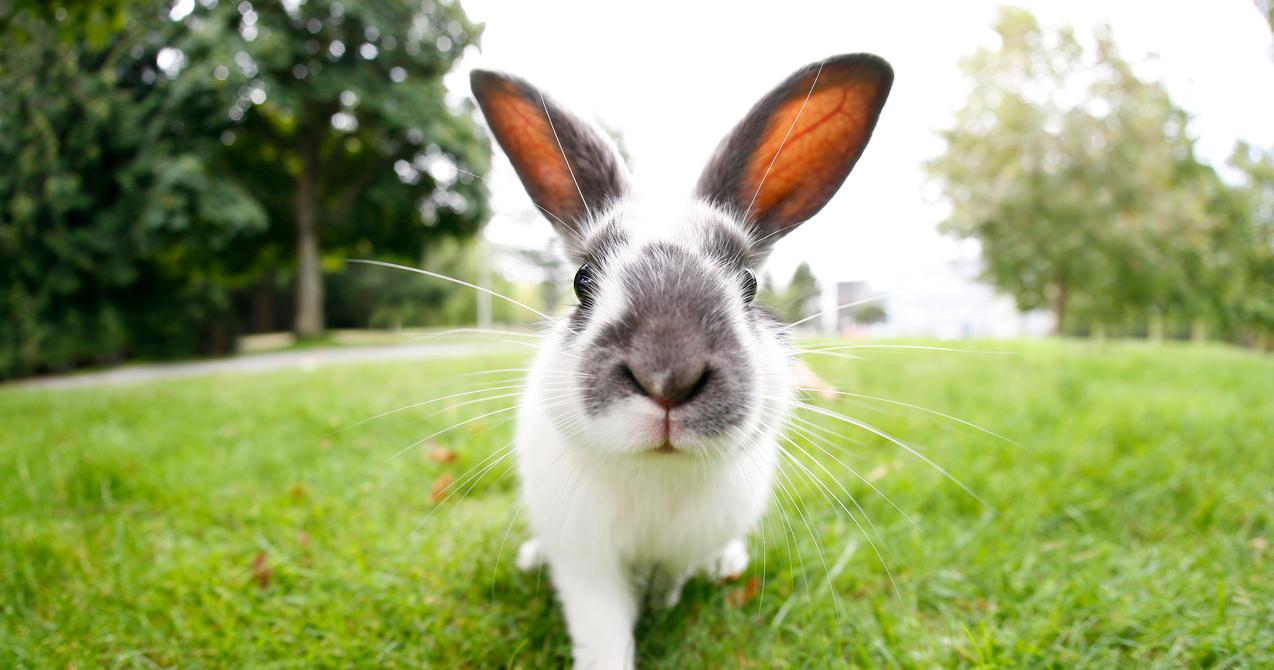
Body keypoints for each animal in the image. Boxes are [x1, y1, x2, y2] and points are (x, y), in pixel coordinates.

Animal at [469, 53, 893, 669]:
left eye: (749, 284)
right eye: (581, 282)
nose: (666, 376)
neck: (657, 474)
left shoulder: (682, 548)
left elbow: (670, 580)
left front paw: (663, 603)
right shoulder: (587, 565)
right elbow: (603, 632)